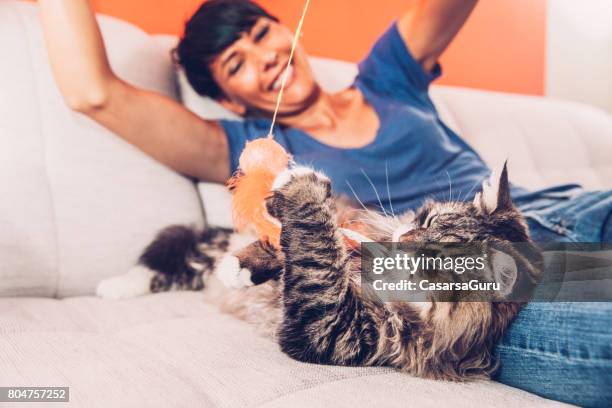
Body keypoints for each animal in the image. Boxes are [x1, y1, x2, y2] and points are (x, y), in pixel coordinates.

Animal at [98, 164, 544, 380]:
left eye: (434, 256)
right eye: (428, 219)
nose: (404, 235)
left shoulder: (335, 331)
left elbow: (316, 256)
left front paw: (304, 191)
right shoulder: (354, 238)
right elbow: (312, 245)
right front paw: (244, 265)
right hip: (201, 246)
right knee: (164, 254)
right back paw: (115, 286)